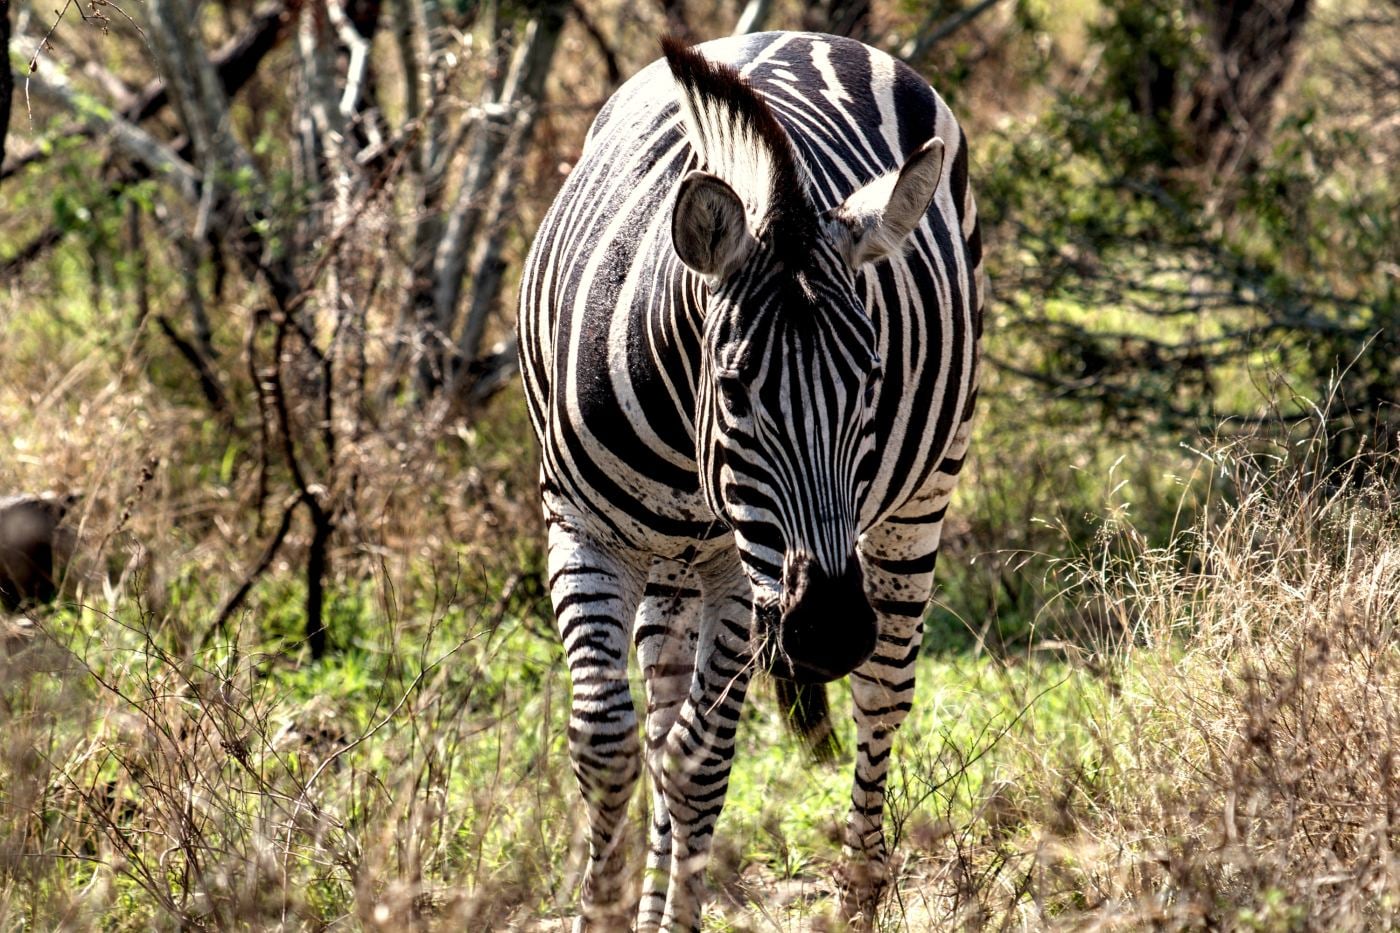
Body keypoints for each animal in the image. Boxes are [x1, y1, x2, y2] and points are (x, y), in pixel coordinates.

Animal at [517, 31, 983, 932]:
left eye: (872, 379)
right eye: (734, 389)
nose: (831, 631)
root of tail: (813, 36)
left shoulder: (742, 570)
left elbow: (701, 762)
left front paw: (676, 917)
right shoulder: (580, 530)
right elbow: (609, 743)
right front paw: (611, 907)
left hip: (919, 500)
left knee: (882, 695)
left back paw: (858, 899)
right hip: (670, 565)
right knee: (661, 719)